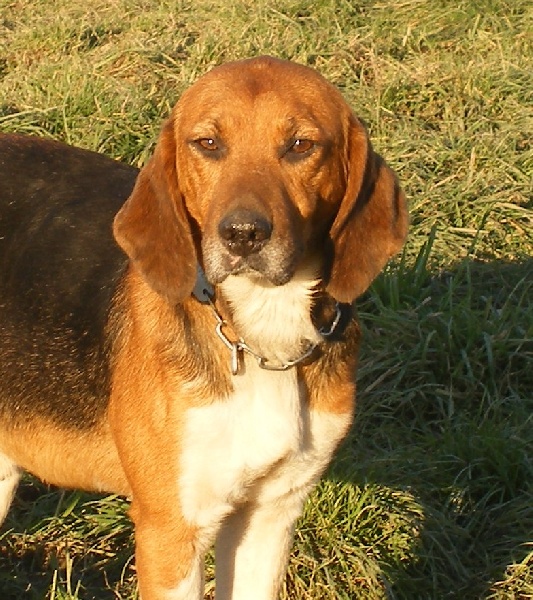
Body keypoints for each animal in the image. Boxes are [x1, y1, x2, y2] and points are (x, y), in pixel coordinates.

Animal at [0, 54, 408, 596]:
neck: (261, 338)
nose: (242, 234)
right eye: (208, 144)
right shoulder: (173, 531)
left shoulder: (269, 514)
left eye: (300, 145)